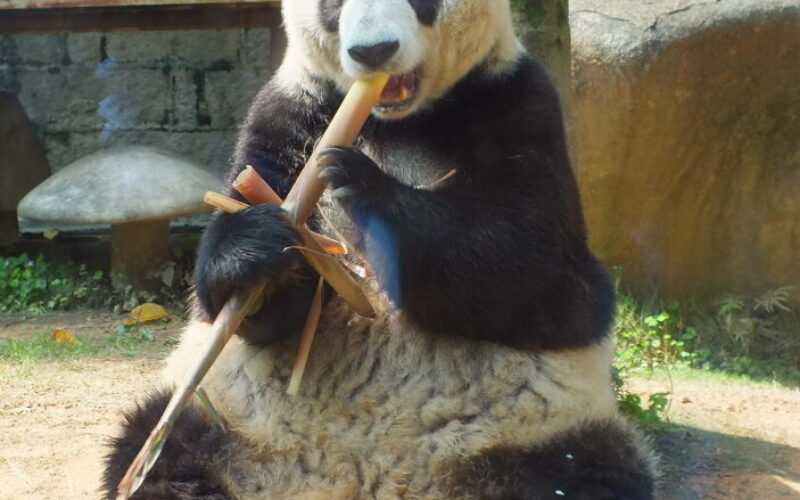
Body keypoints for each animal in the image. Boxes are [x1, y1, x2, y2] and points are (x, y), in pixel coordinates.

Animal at [104, 0, 656, 498]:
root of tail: (358, 480)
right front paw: (257, 247)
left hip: (536, 434)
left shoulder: (516, 100)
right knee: (157, 448)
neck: (396, 121)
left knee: (589, 473)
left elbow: (530, 263)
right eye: (332, 4)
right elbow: (257, 304)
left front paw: (359, 181)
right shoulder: (294, 107)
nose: (373, 52)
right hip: (223, 421)